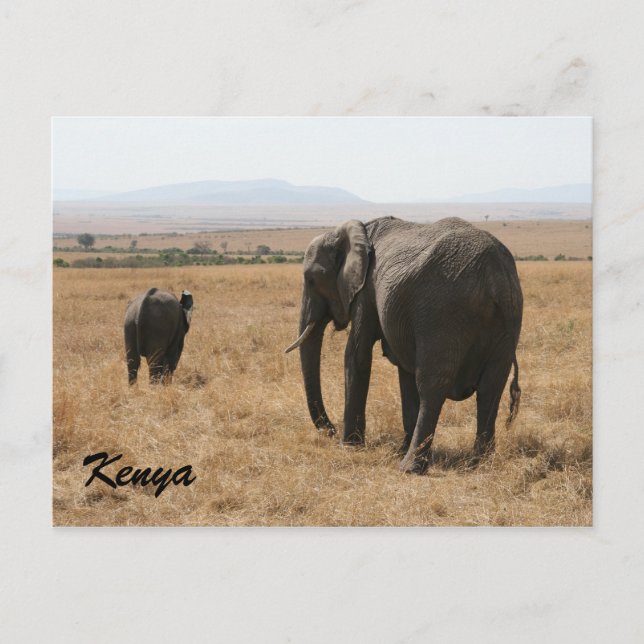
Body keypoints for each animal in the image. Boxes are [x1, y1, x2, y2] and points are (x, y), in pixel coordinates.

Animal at [285, 216, 522, 474]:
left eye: (311, 280)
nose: (330, 430)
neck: (355, 231)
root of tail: (494, 276)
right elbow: (404, 371)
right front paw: (397, 448)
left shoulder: (365, 291)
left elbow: (357, 355)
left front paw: (349, 446)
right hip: (509, 317)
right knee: (492, 387)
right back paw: (478, 464)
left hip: (443, 314)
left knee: (432, 385)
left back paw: (410, 467)